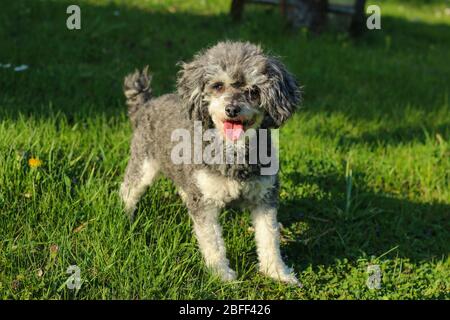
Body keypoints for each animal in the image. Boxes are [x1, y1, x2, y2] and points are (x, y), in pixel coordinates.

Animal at [121, 40, 300, 284]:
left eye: (253, 91)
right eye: (218, 86)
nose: (232, 109)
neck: (234, 154)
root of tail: (147, 104)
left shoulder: (264, 197)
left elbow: (269, 237)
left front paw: (278, 272)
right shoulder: (205, 203)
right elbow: (212, 241)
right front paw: (221, 275)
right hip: (144, 164)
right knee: (128, 190)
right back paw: (125, 217)